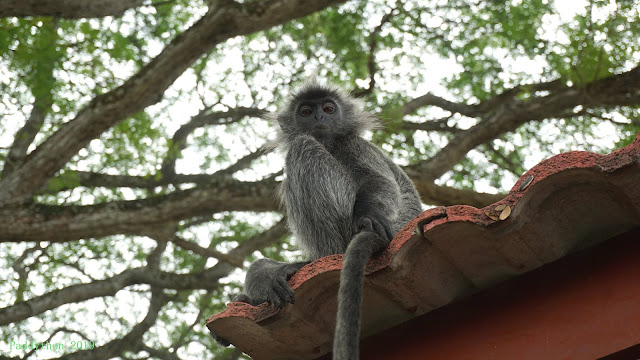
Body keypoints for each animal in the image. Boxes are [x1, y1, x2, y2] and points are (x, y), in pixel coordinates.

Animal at [212, 80, 422, 358]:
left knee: (303, 147)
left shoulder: (353, 143)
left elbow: (379, 181)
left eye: (329, 108)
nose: (320, 117)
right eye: (305, 112)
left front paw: (369, 215)